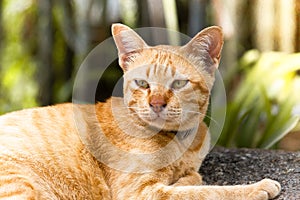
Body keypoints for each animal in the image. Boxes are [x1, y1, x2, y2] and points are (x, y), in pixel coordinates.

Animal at [0, 23, 282, 200]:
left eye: (178, 83)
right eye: (143, 83)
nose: (156, 103)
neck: (180, 145)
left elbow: (192, 180)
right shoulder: (140, 193)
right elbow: (207, 192)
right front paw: (256, 187)